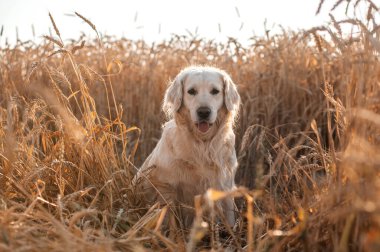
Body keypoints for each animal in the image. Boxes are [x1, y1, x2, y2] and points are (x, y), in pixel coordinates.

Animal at [135, 66, 239, 227]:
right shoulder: (167, 188)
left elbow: (230, 219)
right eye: (191, 91)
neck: (202, 145)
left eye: (215, 91)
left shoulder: (225, 185)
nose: (204, 112)